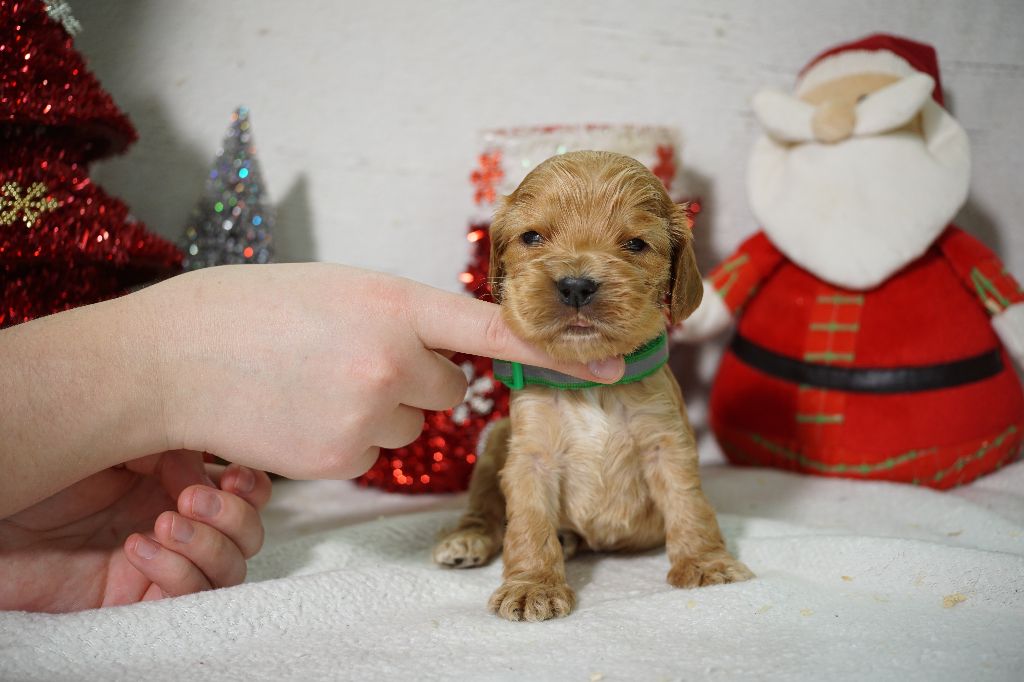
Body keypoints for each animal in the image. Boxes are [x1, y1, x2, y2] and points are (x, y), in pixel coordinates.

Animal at [432, 151, 753, 618]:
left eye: (635, 244)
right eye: (532, 236)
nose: (576, 285)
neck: (585, 380)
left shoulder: (666, 442)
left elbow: (688, 501)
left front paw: (705, 561)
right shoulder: (530, 455)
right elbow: (528, 522)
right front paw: (533, 586)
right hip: (493, 446)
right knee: (484, 508)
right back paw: (467, 539)